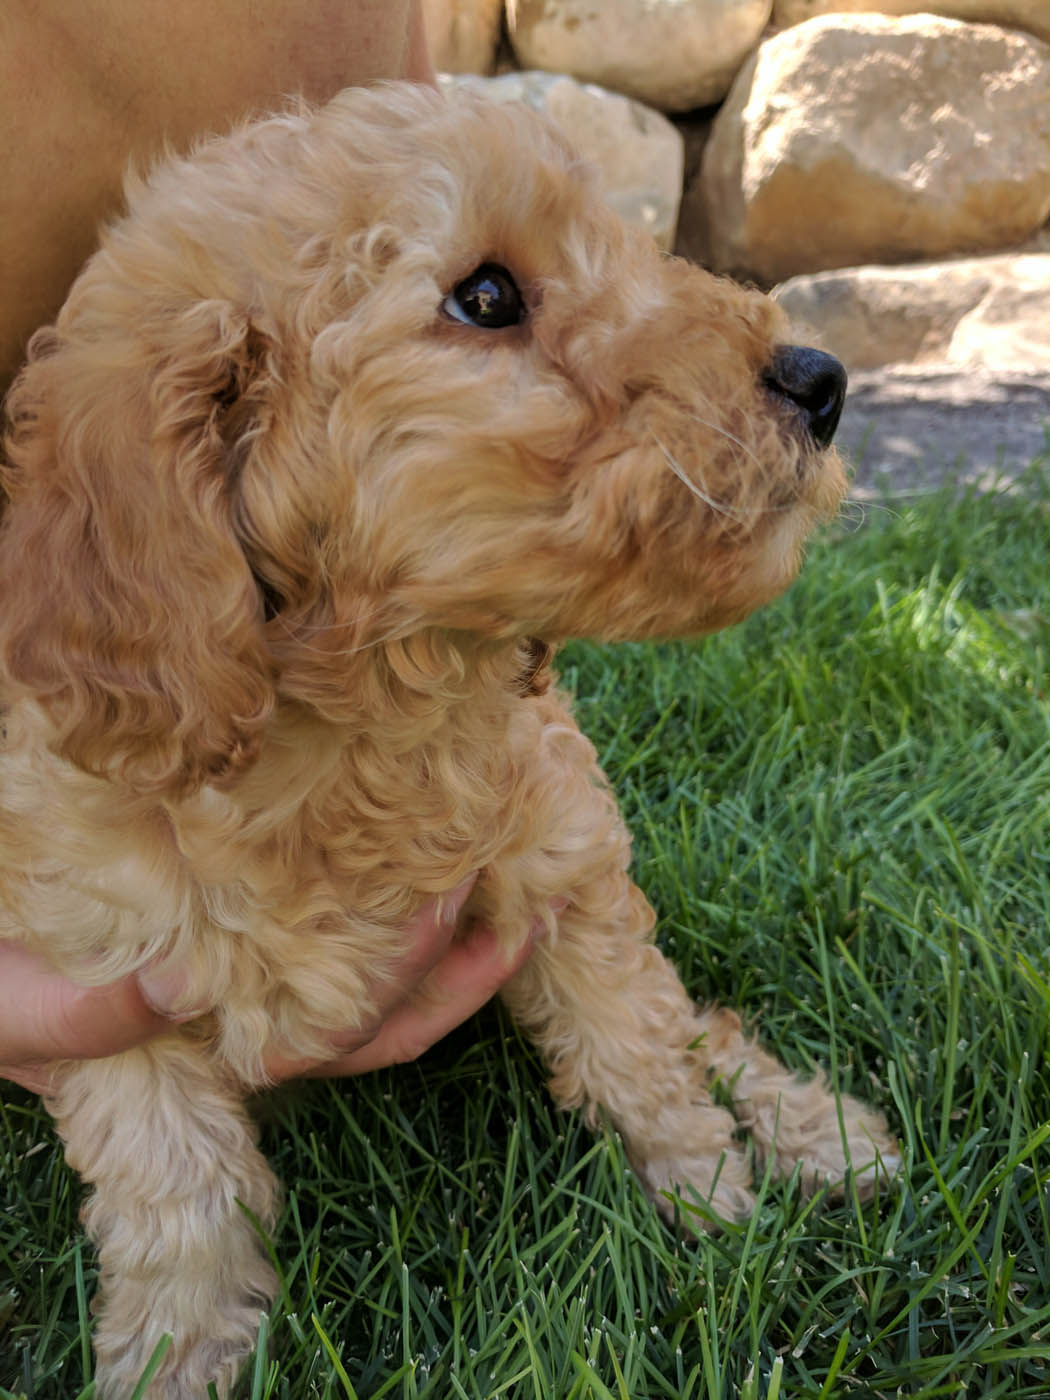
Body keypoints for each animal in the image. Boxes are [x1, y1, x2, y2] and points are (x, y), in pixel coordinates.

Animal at [0, 81, 901, 1394]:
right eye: (485, 296)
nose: (820, 376)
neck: (372, 719)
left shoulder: (567, 860)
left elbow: (637, 1043)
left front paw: (712, 1198)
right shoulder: (109, 982)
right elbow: (178, 1191)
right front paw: (177, 1354)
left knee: (696, 1021)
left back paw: (821, 1134)